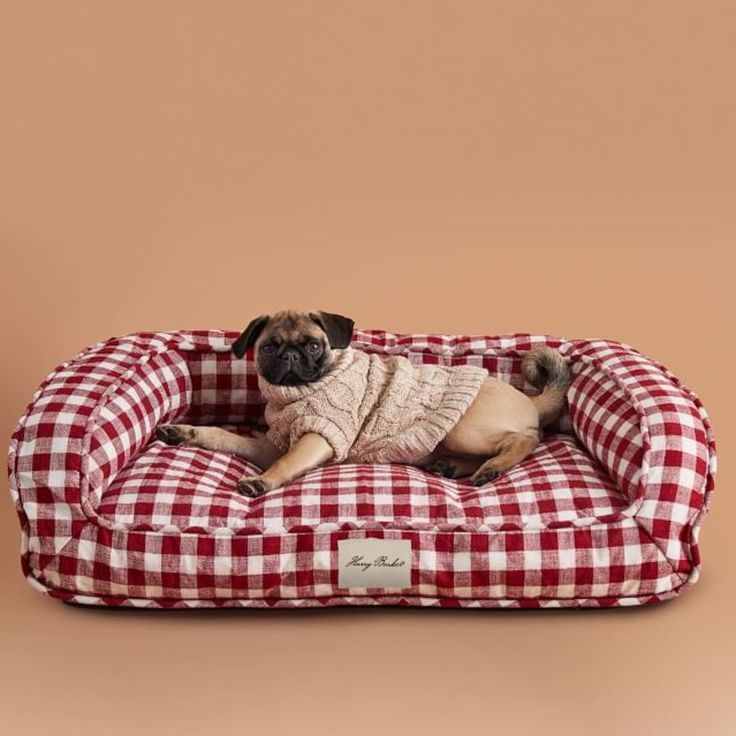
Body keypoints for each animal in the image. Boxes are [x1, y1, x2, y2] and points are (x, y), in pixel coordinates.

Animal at [154, 308, 568, 498]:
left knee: (524, 440)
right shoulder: (270, 445)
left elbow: (285, 464)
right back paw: (453, 466)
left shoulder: (319, 437)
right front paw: (184, 432)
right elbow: (223, 436)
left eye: (313, 345)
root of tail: (530, 399)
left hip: (464, 426)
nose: (290, 356)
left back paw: (492, 468)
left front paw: (261, 481)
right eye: (269, 347)